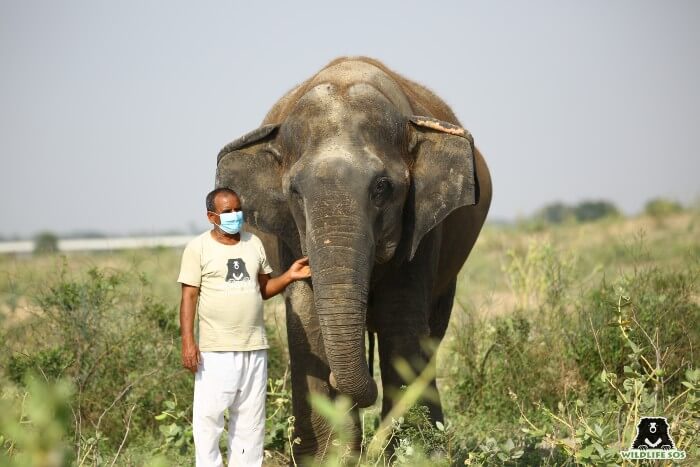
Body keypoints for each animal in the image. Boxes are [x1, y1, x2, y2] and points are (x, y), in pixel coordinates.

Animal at [213, 56, 492, 462]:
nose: (338, 380)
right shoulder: (288, 234)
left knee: (431, 328)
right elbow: (307, 319)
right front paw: (328, 460)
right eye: (295, 192)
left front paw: (412, 455)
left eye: (382, 188)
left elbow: (400, 321)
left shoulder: (422, 228)